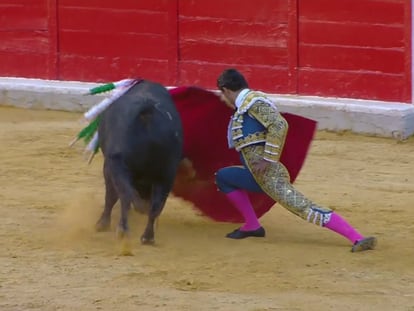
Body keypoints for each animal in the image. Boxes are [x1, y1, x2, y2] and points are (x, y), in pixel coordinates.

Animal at [96, 80, 184, 246]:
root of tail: (147, 112)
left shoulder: (109, 167)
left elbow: (111, 196)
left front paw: (102, 224)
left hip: (118, 166)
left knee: (124, 196)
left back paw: (123, 230)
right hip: (167, 173)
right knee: (156, 205)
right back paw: (147, 237)